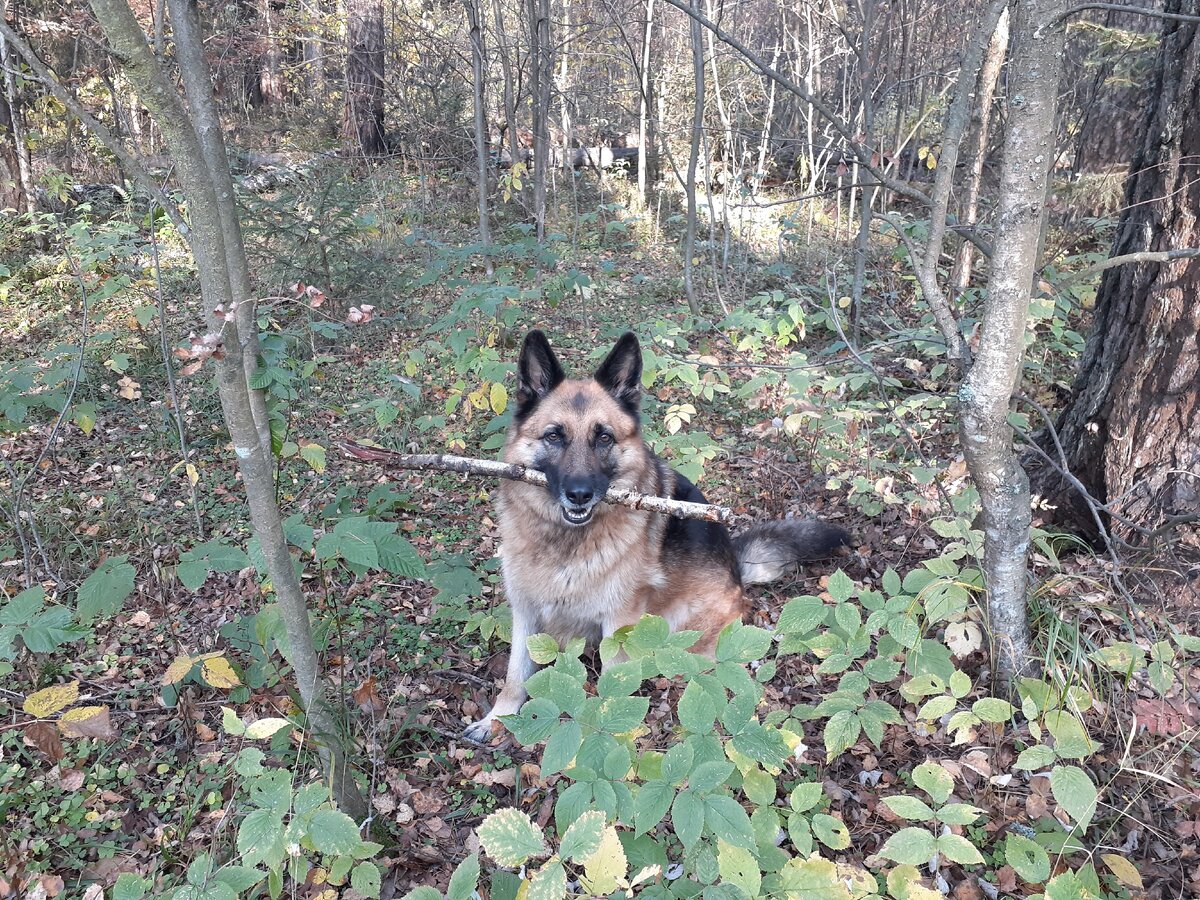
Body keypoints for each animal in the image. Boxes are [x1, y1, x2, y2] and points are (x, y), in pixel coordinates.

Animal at [463, 331, 849, 739]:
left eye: (604, 438)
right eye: (554, 436)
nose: (580, 493)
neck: (565, 542)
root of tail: (736, 570)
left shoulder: (618, 624)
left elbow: (612, 686)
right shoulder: (525, 613)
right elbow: (514, 676)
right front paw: (496, 720)